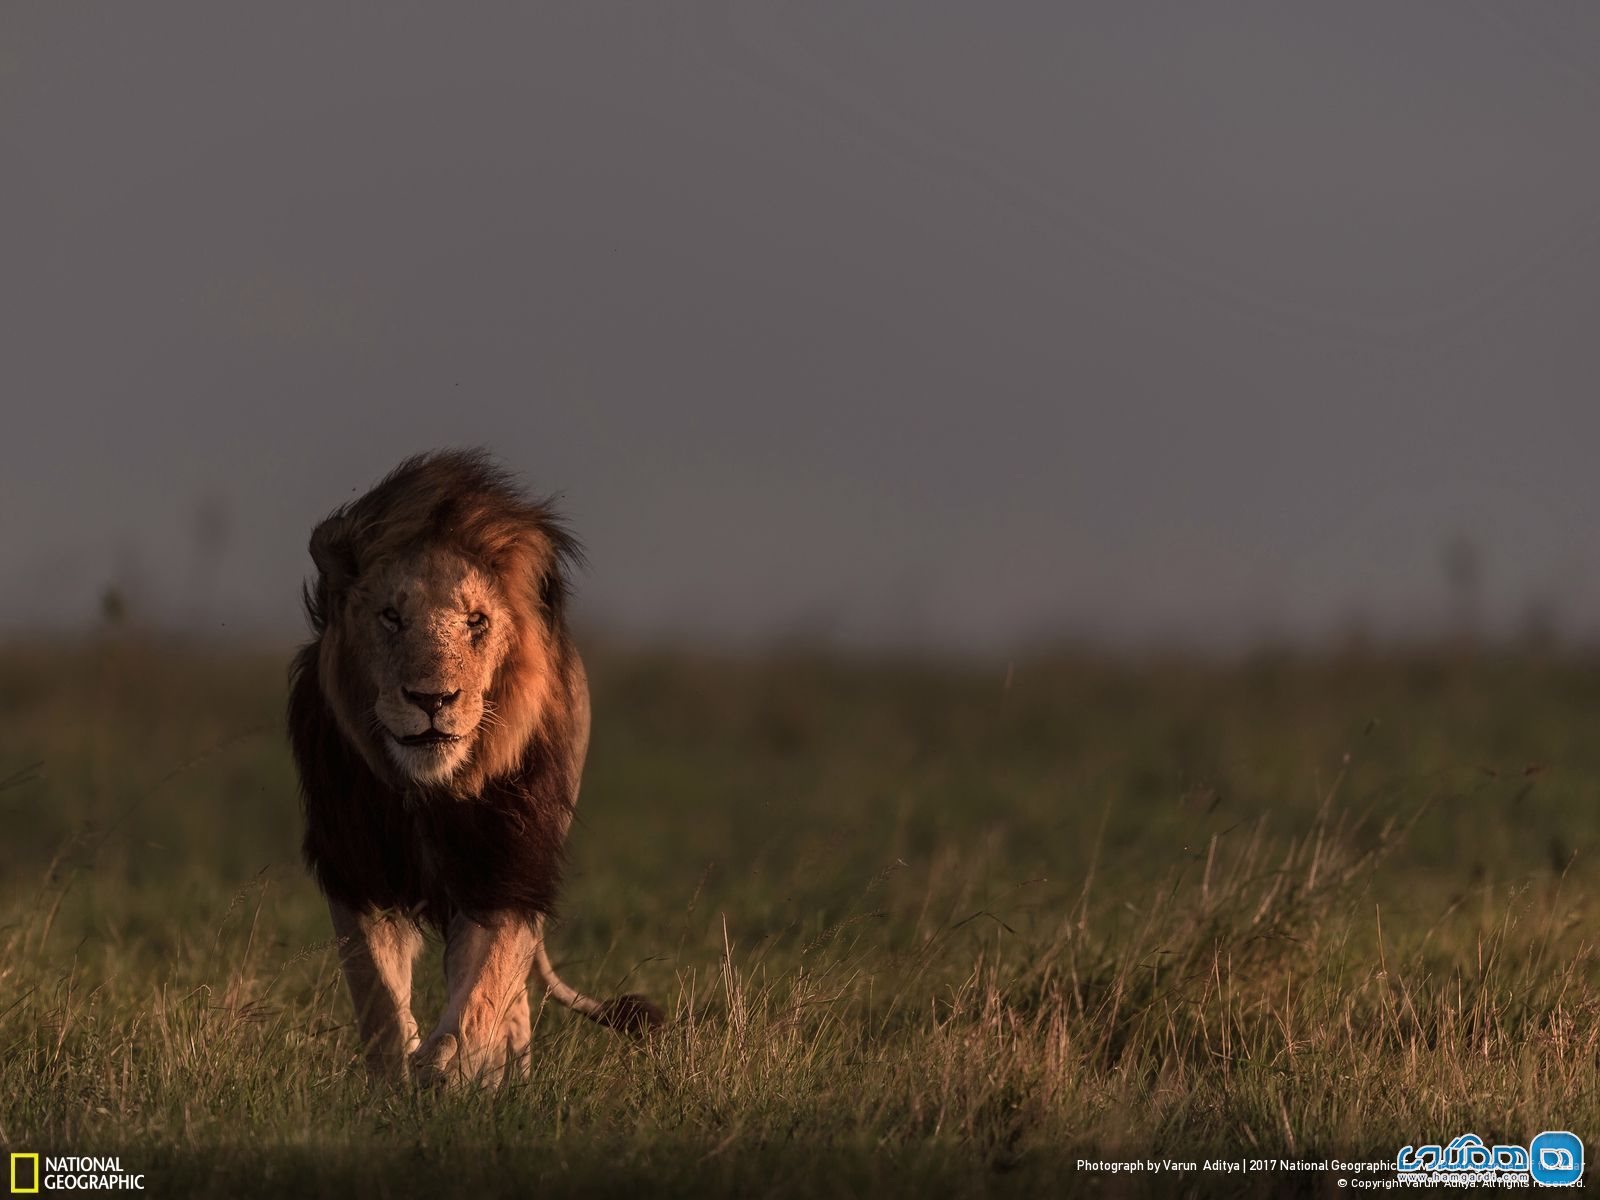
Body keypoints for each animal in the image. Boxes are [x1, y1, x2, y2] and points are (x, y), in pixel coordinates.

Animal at [291, 451, 659, 1088]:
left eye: (477, 622)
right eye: (391, 617)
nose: (432, 699)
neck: (428, 791)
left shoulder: (508, 869)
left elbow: (486, 985)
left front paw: (449, 1069)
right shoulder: (356, 868)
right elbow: (377, 993)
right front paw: (396, 1077)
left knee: (511, 999)